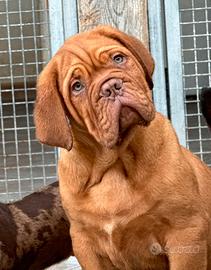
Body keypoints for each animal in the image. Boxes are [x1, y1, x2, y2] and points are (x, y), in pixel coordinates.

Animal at [33, 24, 211, 268]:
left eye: (118, 58)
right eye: (77, 86)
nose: (111, 87)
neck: (114, 164)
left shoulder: (185, 230)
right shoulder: (84, 243)